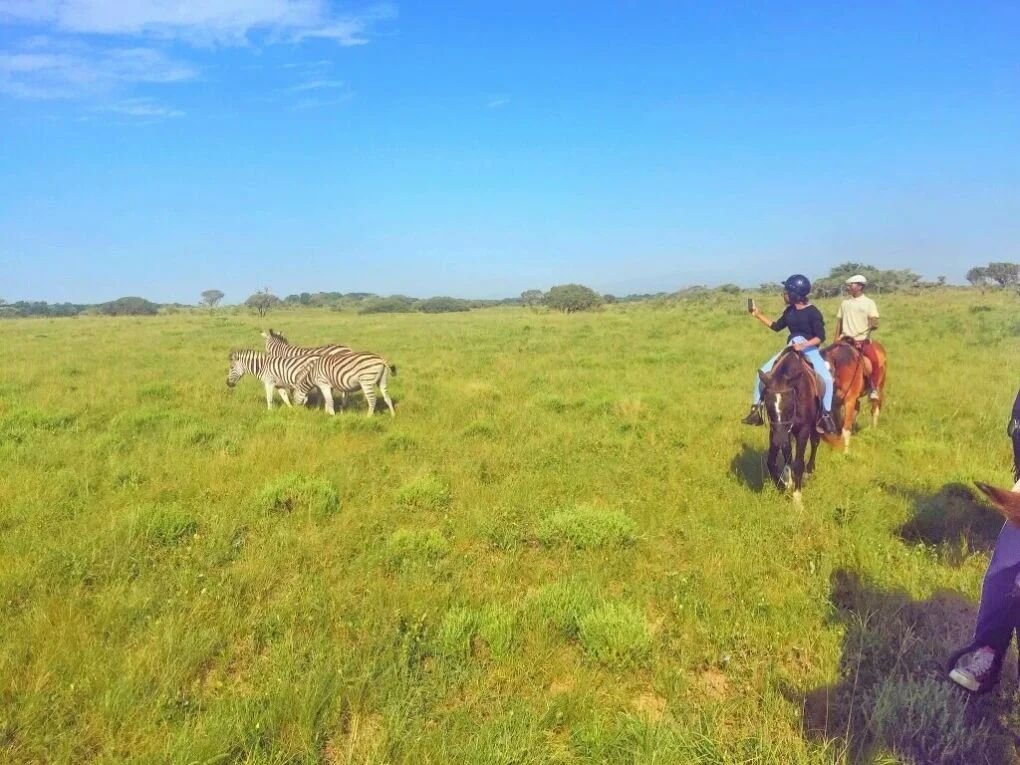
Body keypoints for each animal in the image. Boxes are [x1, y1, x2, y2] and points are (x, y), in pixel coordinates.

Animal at [758, 348, 820, 503]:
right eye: (767, 406)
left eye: (790, 405)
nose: (779, 441)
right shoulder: (775, 431)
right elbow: (772, 461)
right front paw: (783, 485)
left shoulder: (803, 430)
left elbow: (798, 463)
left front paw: (797, 498)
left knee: (815, 442)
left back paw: (809, 471)